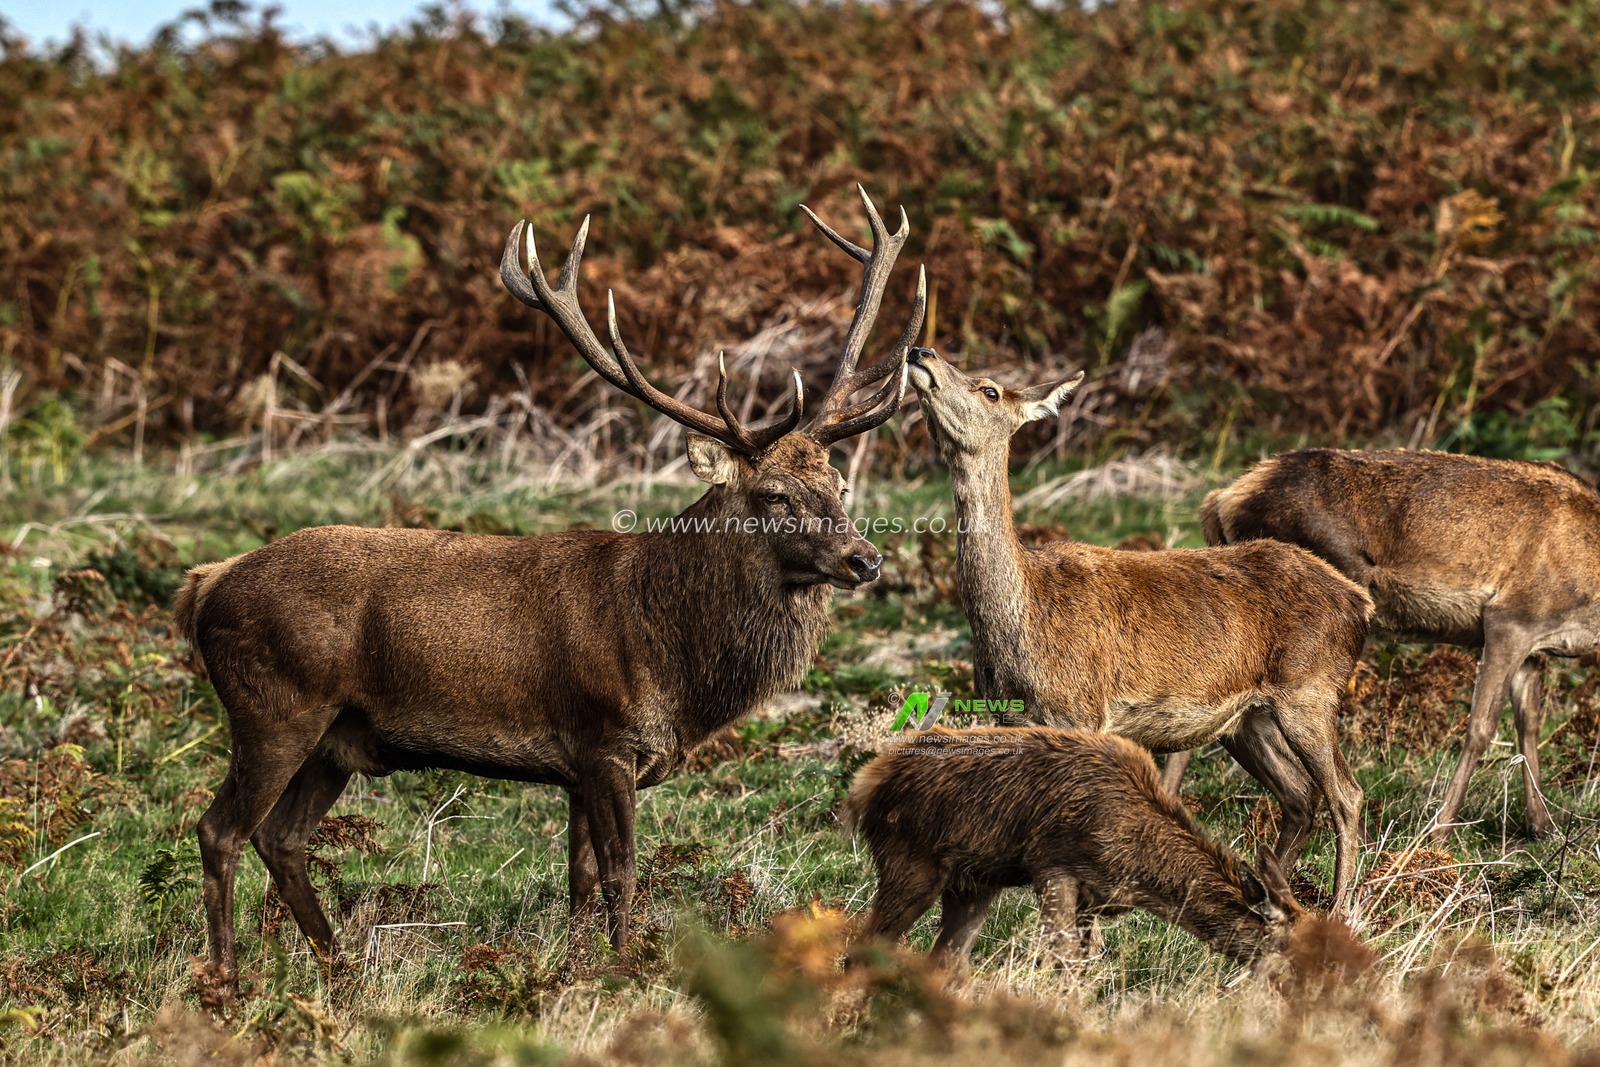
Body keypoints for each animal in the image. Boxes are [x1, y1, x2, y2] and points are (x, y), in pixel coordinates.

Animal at [173, 187, 927, 983]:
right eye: (775, 494)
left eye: (838, 483)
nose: (864, 560)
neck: (674, 661)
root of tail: (206, 585)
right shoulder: (603, 738)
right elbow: (623, 870)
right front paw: (628, 970)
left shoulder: (576, 766)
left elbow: (581, 877)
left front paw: (574, 972)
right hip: (273, 709)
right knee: (219, 830)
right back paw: (225, 979)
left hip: (334, 739)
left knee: (281, 838)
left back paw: (340, 968)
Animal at [844, 727, 1307, 967]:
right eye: (1289, 946)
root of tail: (864, 785)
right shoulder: (1052, 867)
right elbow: (1061, 956)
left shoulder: (1092, 897)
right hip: (910, 864)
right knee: (862, 948)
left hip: (973, 885)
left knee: (945, 961)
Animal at [903, 346, 1371, 913]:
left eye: (990, 389)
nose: (921, 351)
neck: (1022, 618)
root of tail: (1359, 603)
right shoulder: (1008, 717)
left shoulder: (1081, 710)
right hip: (1247, 719)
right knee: (1300, 795)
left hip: (1310, 691)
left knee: (1346, 794)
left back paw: (1341, 907)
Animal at [1169, 447, 1600, 841]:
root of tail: (1221, 499)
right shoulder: (1510, 618)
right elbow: (1481, 727)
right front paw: (1437, 832)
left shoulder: (1536, 648)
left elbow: (1529, 724)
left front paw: (1543, 826)